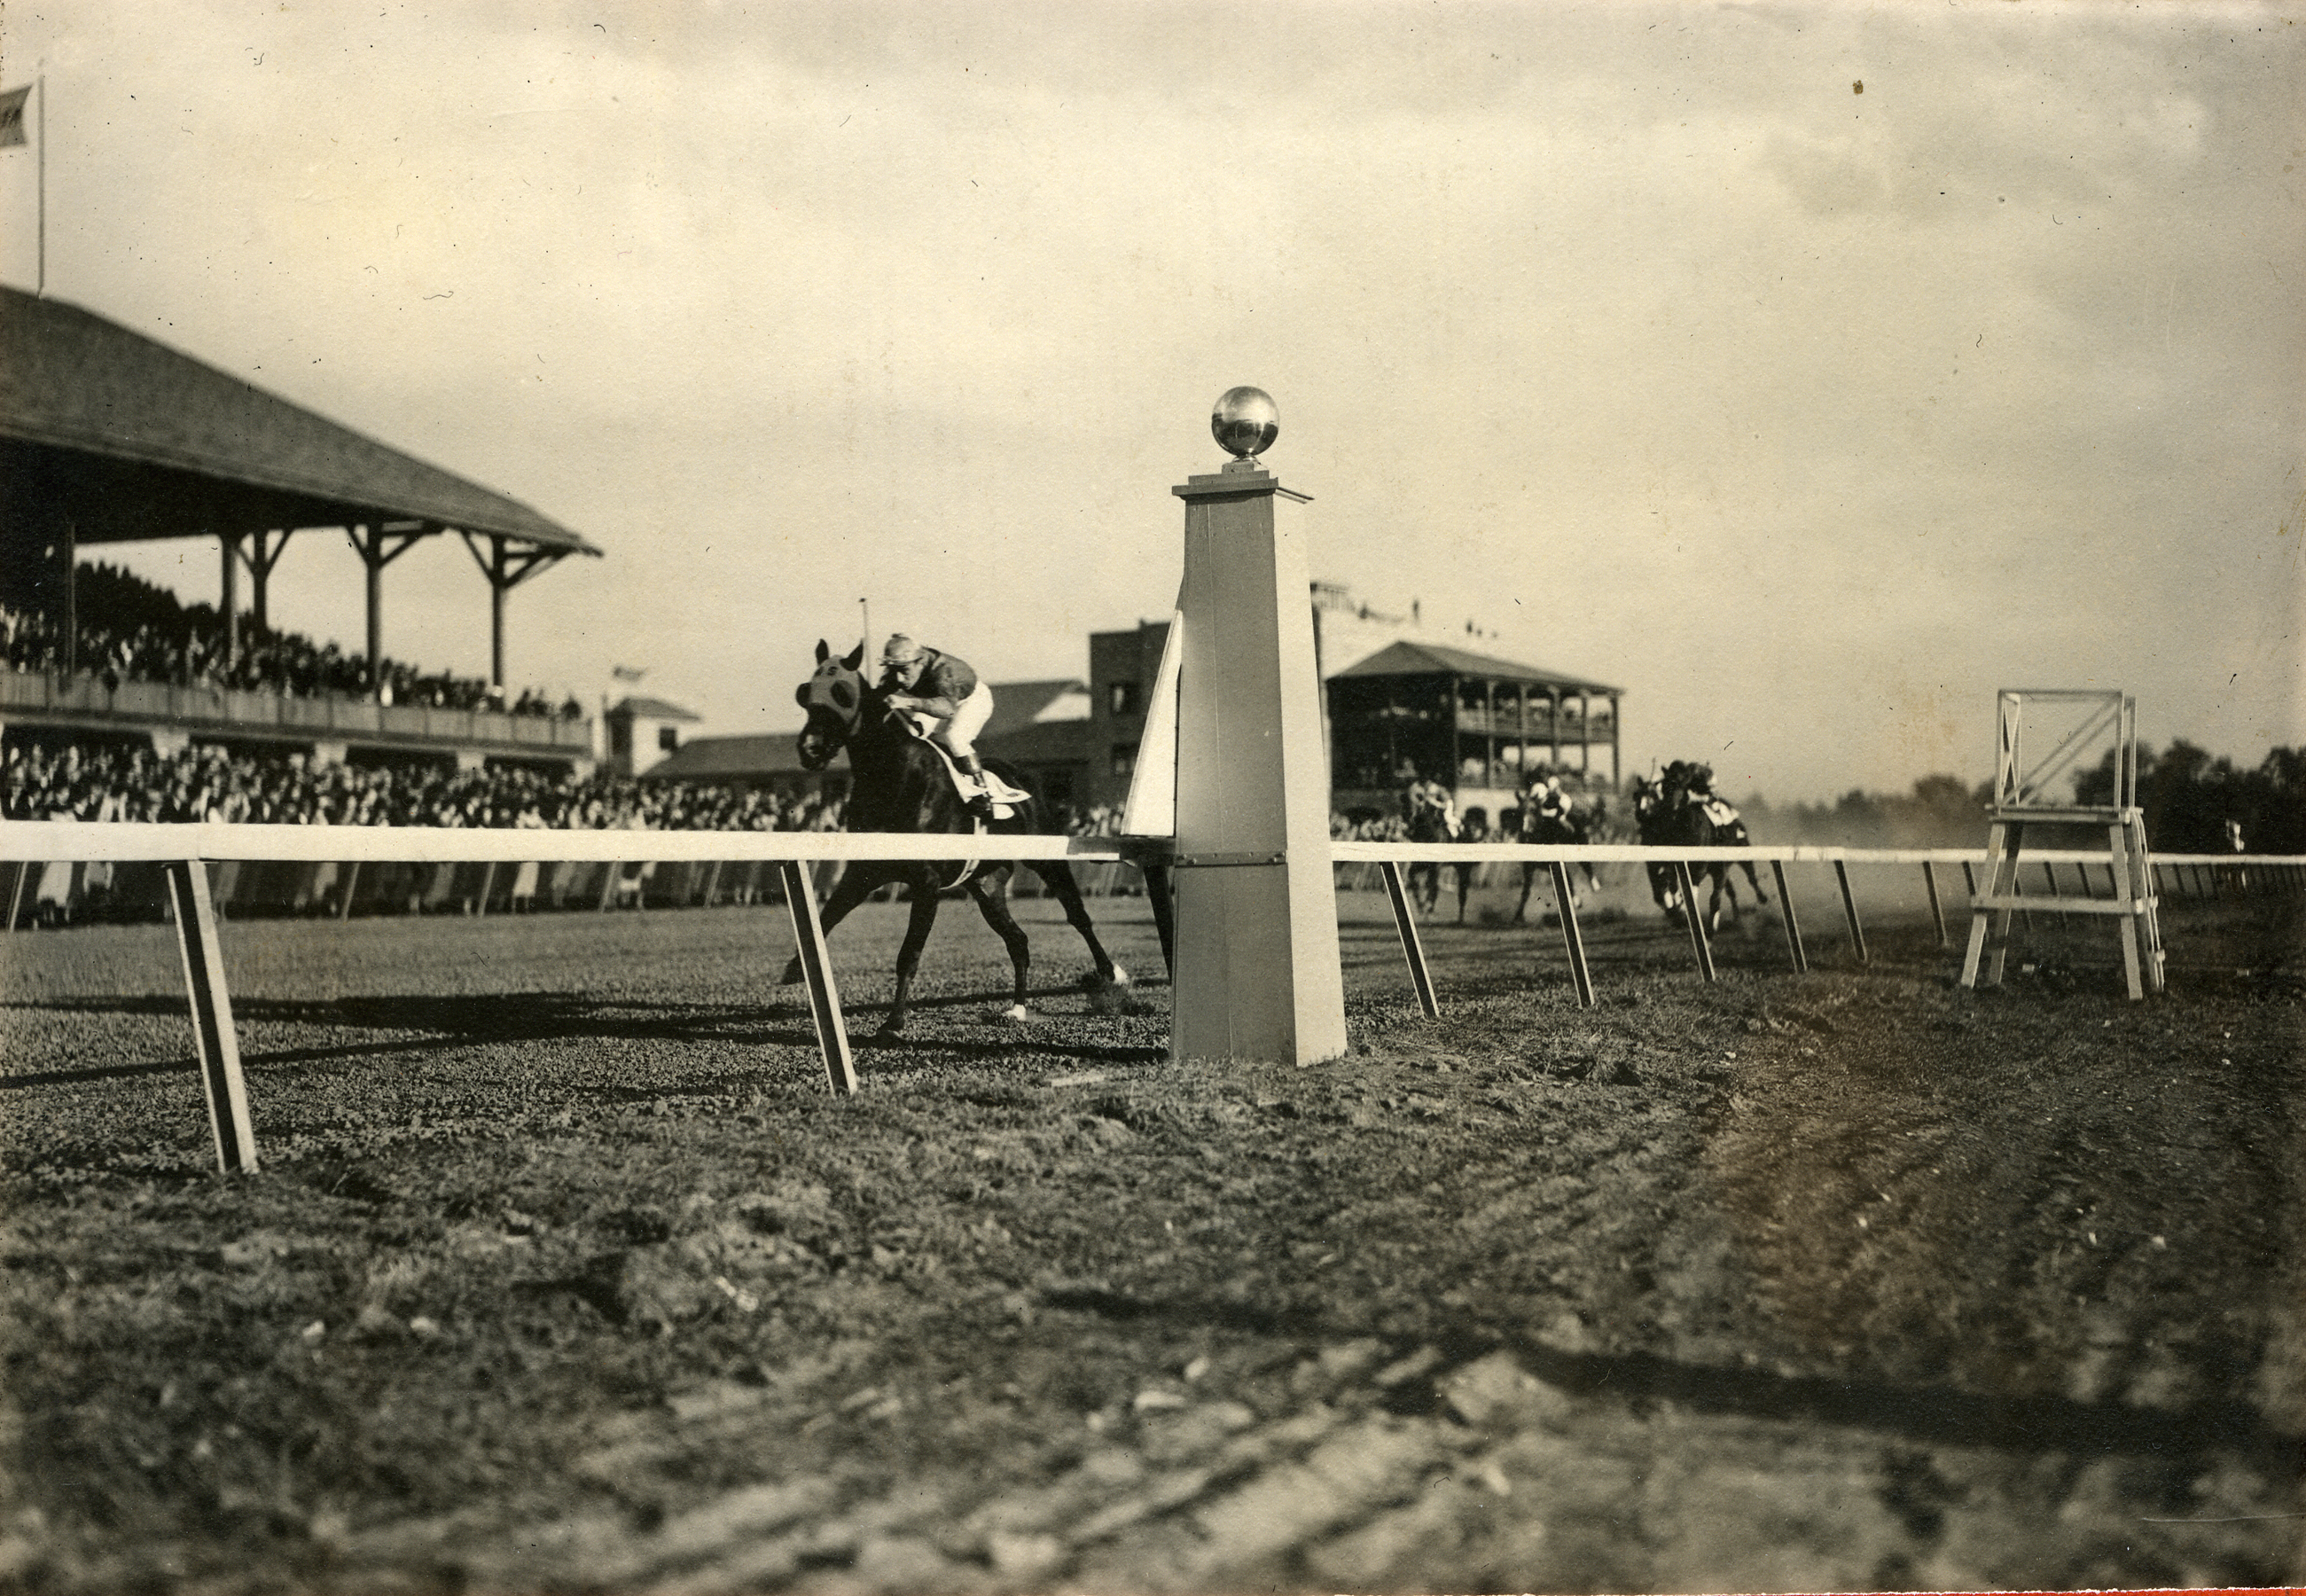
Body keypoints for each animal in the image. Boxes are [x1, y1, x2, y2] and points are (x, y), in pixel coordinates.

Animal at [774, 641, 1134, 1042]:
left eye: (841, 692)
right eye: (805, 692)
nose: (810, 749)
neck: (895, 775)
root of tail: (1022, 777)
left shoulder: (926, 882)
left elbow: (909, 953)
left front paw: (894, 1022)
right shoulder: (864, 872)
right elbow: (827, 917)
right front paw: (795, 968)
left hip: (1045, 860)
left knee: (1078, 916)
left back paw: (1111, 975)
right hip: (987, 885)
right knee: (1018, 941)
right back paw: (1017, 1008)